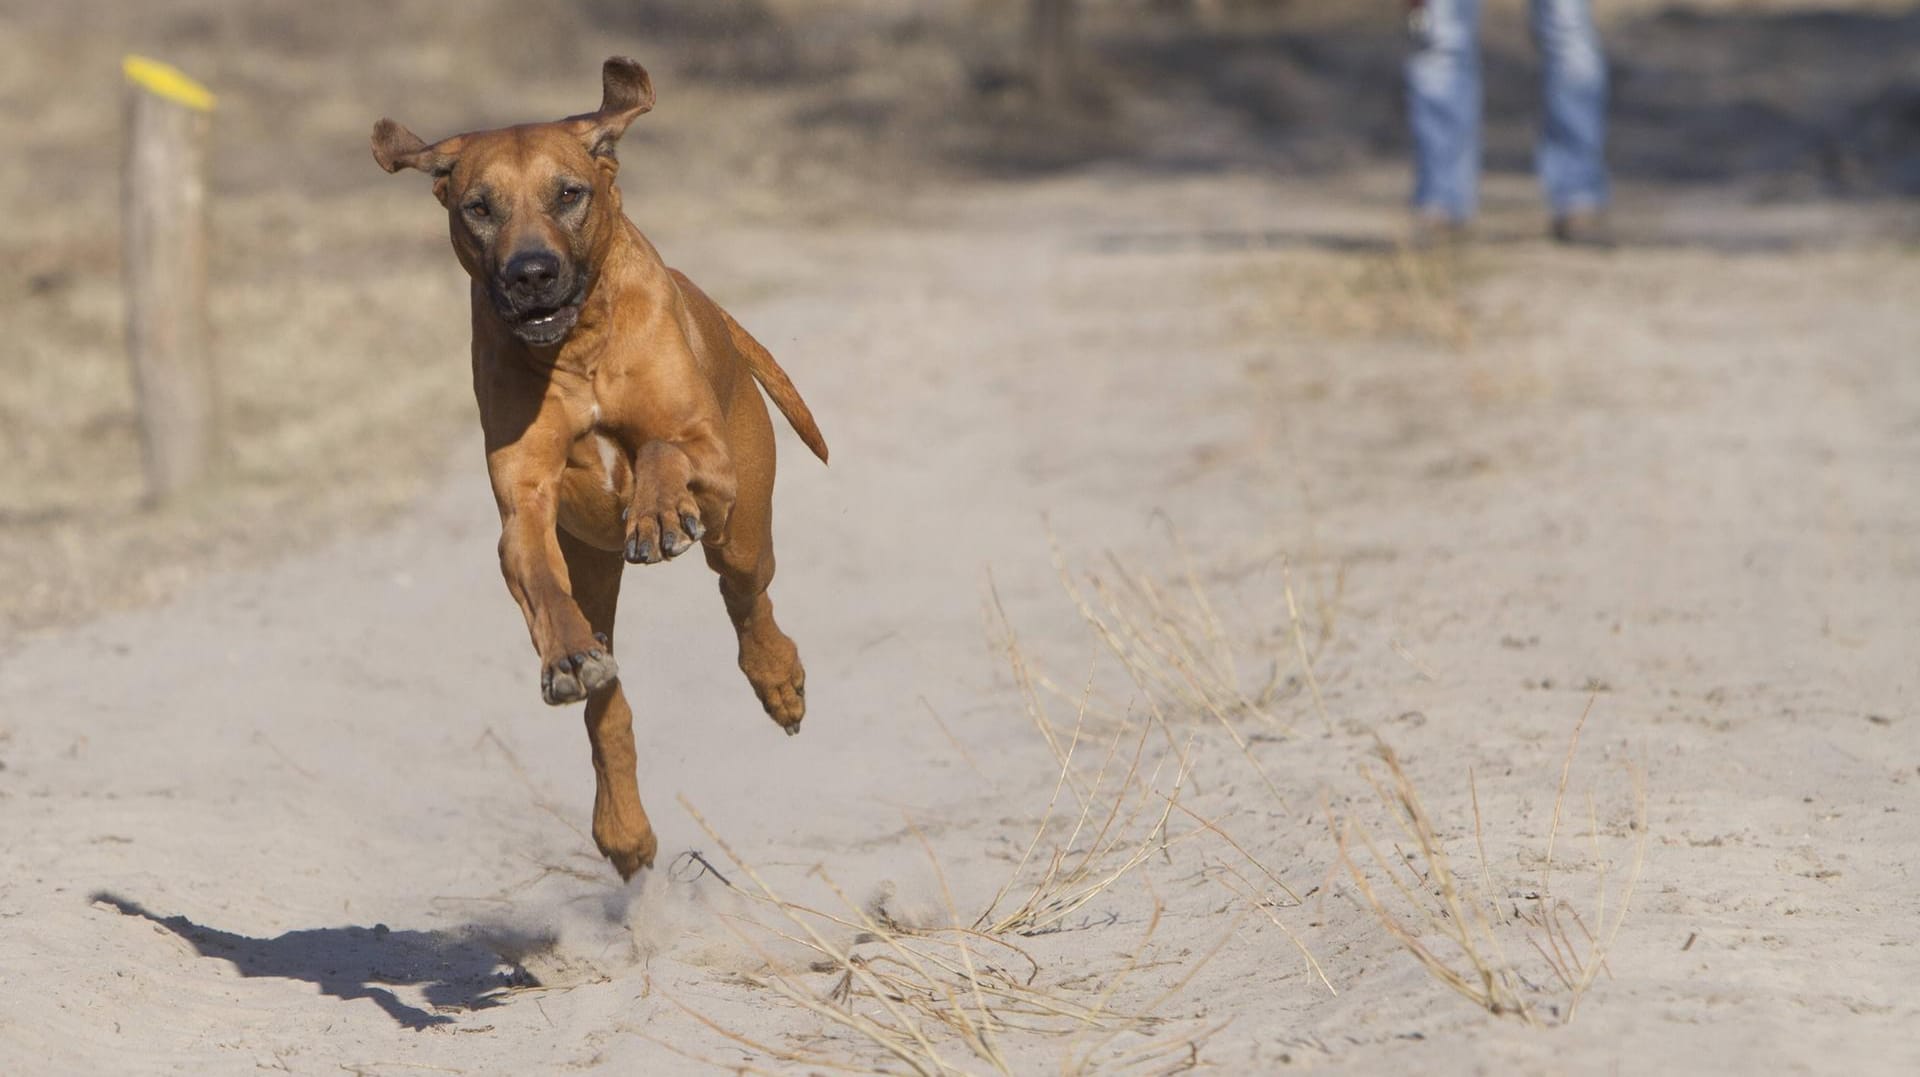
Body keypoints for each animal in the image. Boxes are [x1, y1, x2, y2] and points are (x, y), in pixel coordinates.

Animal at [372, 58, 825, 879]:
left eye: (568, 193)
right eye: (479, 207)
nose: (530, 273)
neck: (576, 346)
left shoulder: (706, 452)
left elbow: (663, 448)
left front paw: (656, 505)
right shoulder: (523, 507)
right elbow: (540, 582)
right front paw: (566, 656)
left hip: (743, 522)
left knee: (747, 597)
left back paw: (778, 679)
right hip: (594, 568)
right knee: (608, 703)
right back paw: (622, 824)